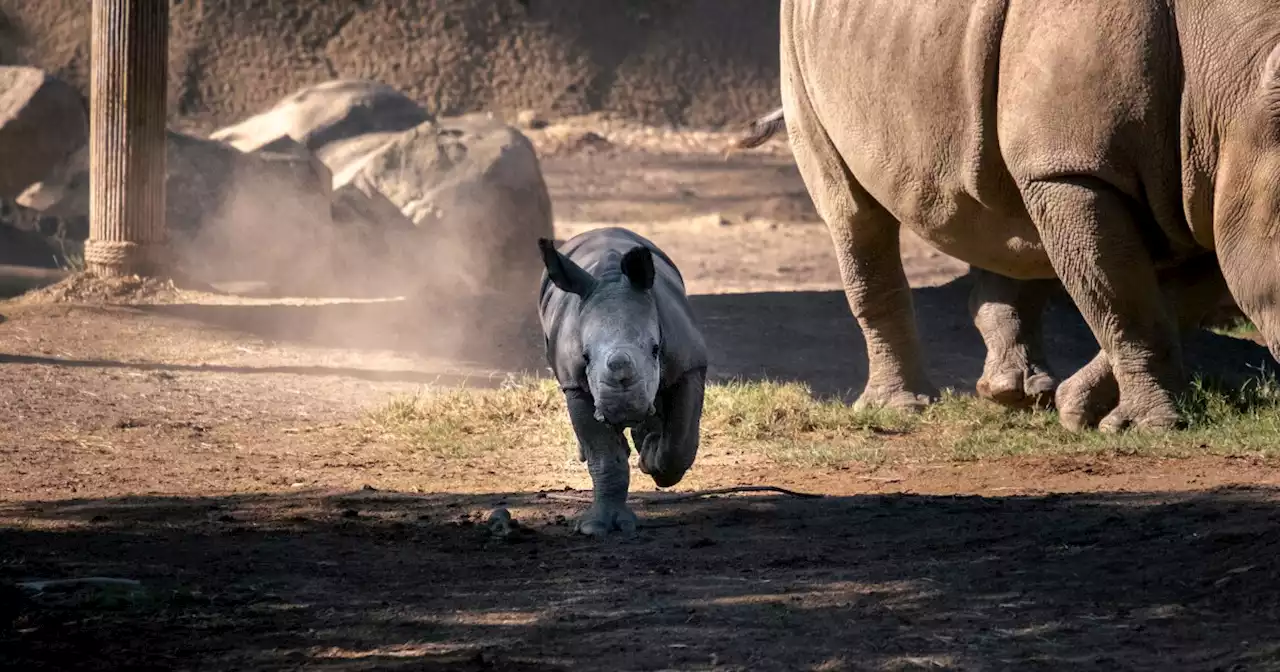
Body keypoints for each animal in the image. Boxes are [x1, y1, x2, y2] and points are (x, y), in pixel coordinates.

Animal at [532, 227, 706, 537]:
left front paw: (651, 457)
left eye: (655, 349)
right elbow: (604, 457)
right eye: (585, 356)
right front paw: (597, 527)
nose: (623, 408)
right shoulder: (574, 384)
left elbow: (680, 443)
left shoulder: (690, 364)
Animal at [752, 0, 1274, 430]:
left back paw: (1019, 394)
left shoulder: (1213, 193)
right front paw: (1151, 426)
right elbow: (1126, 302)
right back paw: (901, 409)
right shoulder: (1069, 170)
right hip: (796, 48)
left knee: (1010, 222)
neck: (1230, 85)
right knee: (853, 212)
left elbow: (1161, 303)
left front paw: (1078, 408)